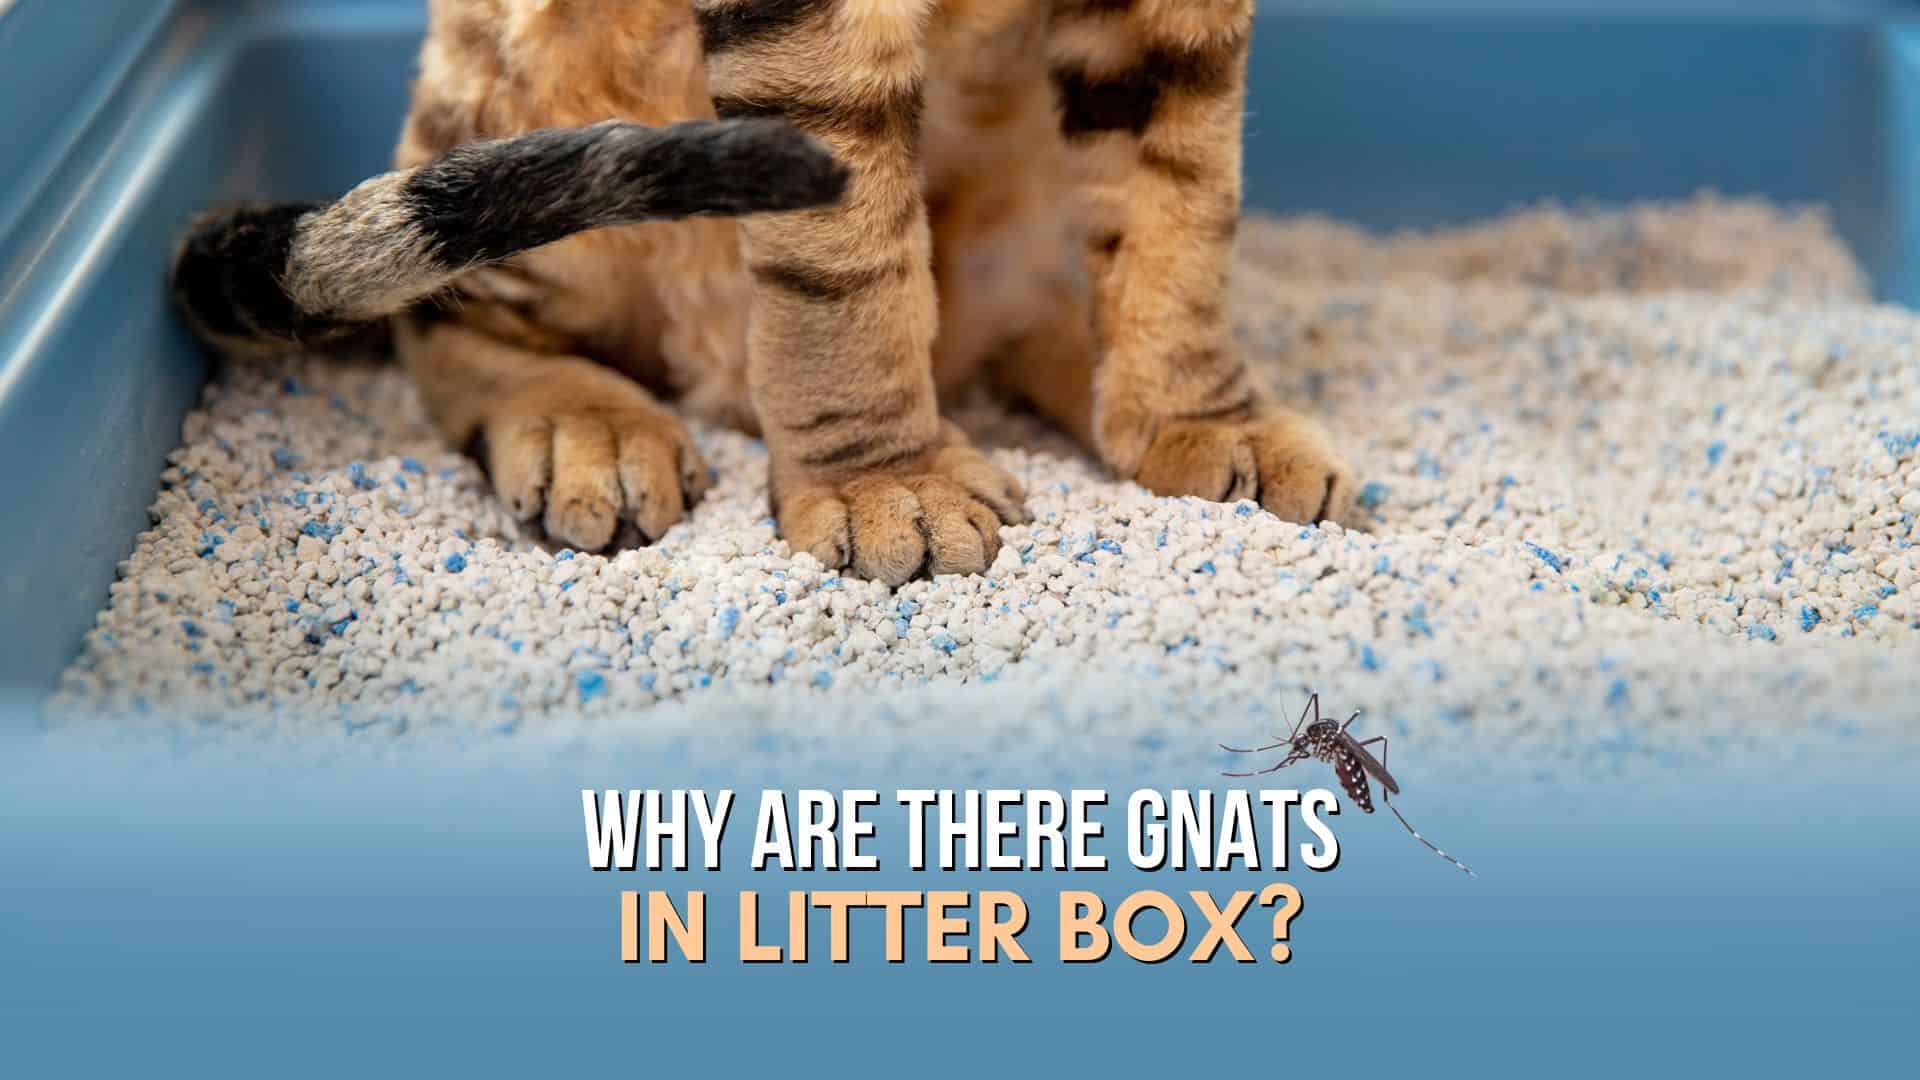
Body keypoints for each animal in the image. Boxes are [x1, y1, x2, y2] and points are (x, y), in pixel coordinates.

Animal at [176, 0, 1351, 584]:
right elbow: (846, 246)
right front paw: (889, 488)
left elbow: (1182, 191)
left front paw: (1205, 423)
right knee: (448, 309)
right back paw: (585, 426)